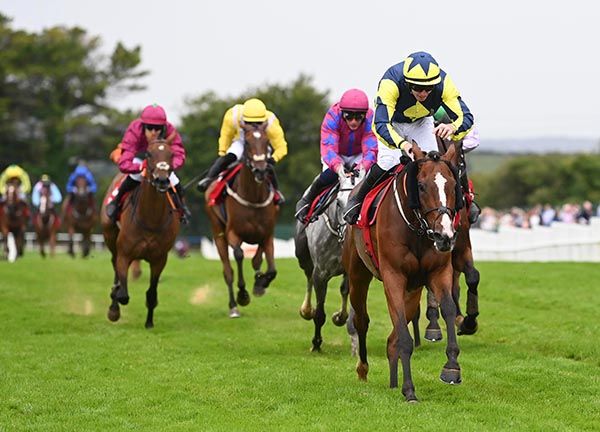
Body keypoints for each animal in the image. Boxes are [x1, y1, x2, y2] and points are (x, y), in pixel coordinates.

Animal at [294, 170, 360, 352]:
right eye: (338, 202)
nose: (348, 230)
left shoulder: (350, 269)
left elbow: (345, 292)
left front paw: (340, 317)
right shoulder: (321, 273)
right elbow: (319, 313)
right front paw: (316, 343)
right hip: (303, 255)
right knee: (308, 277)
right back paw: (306, 310)